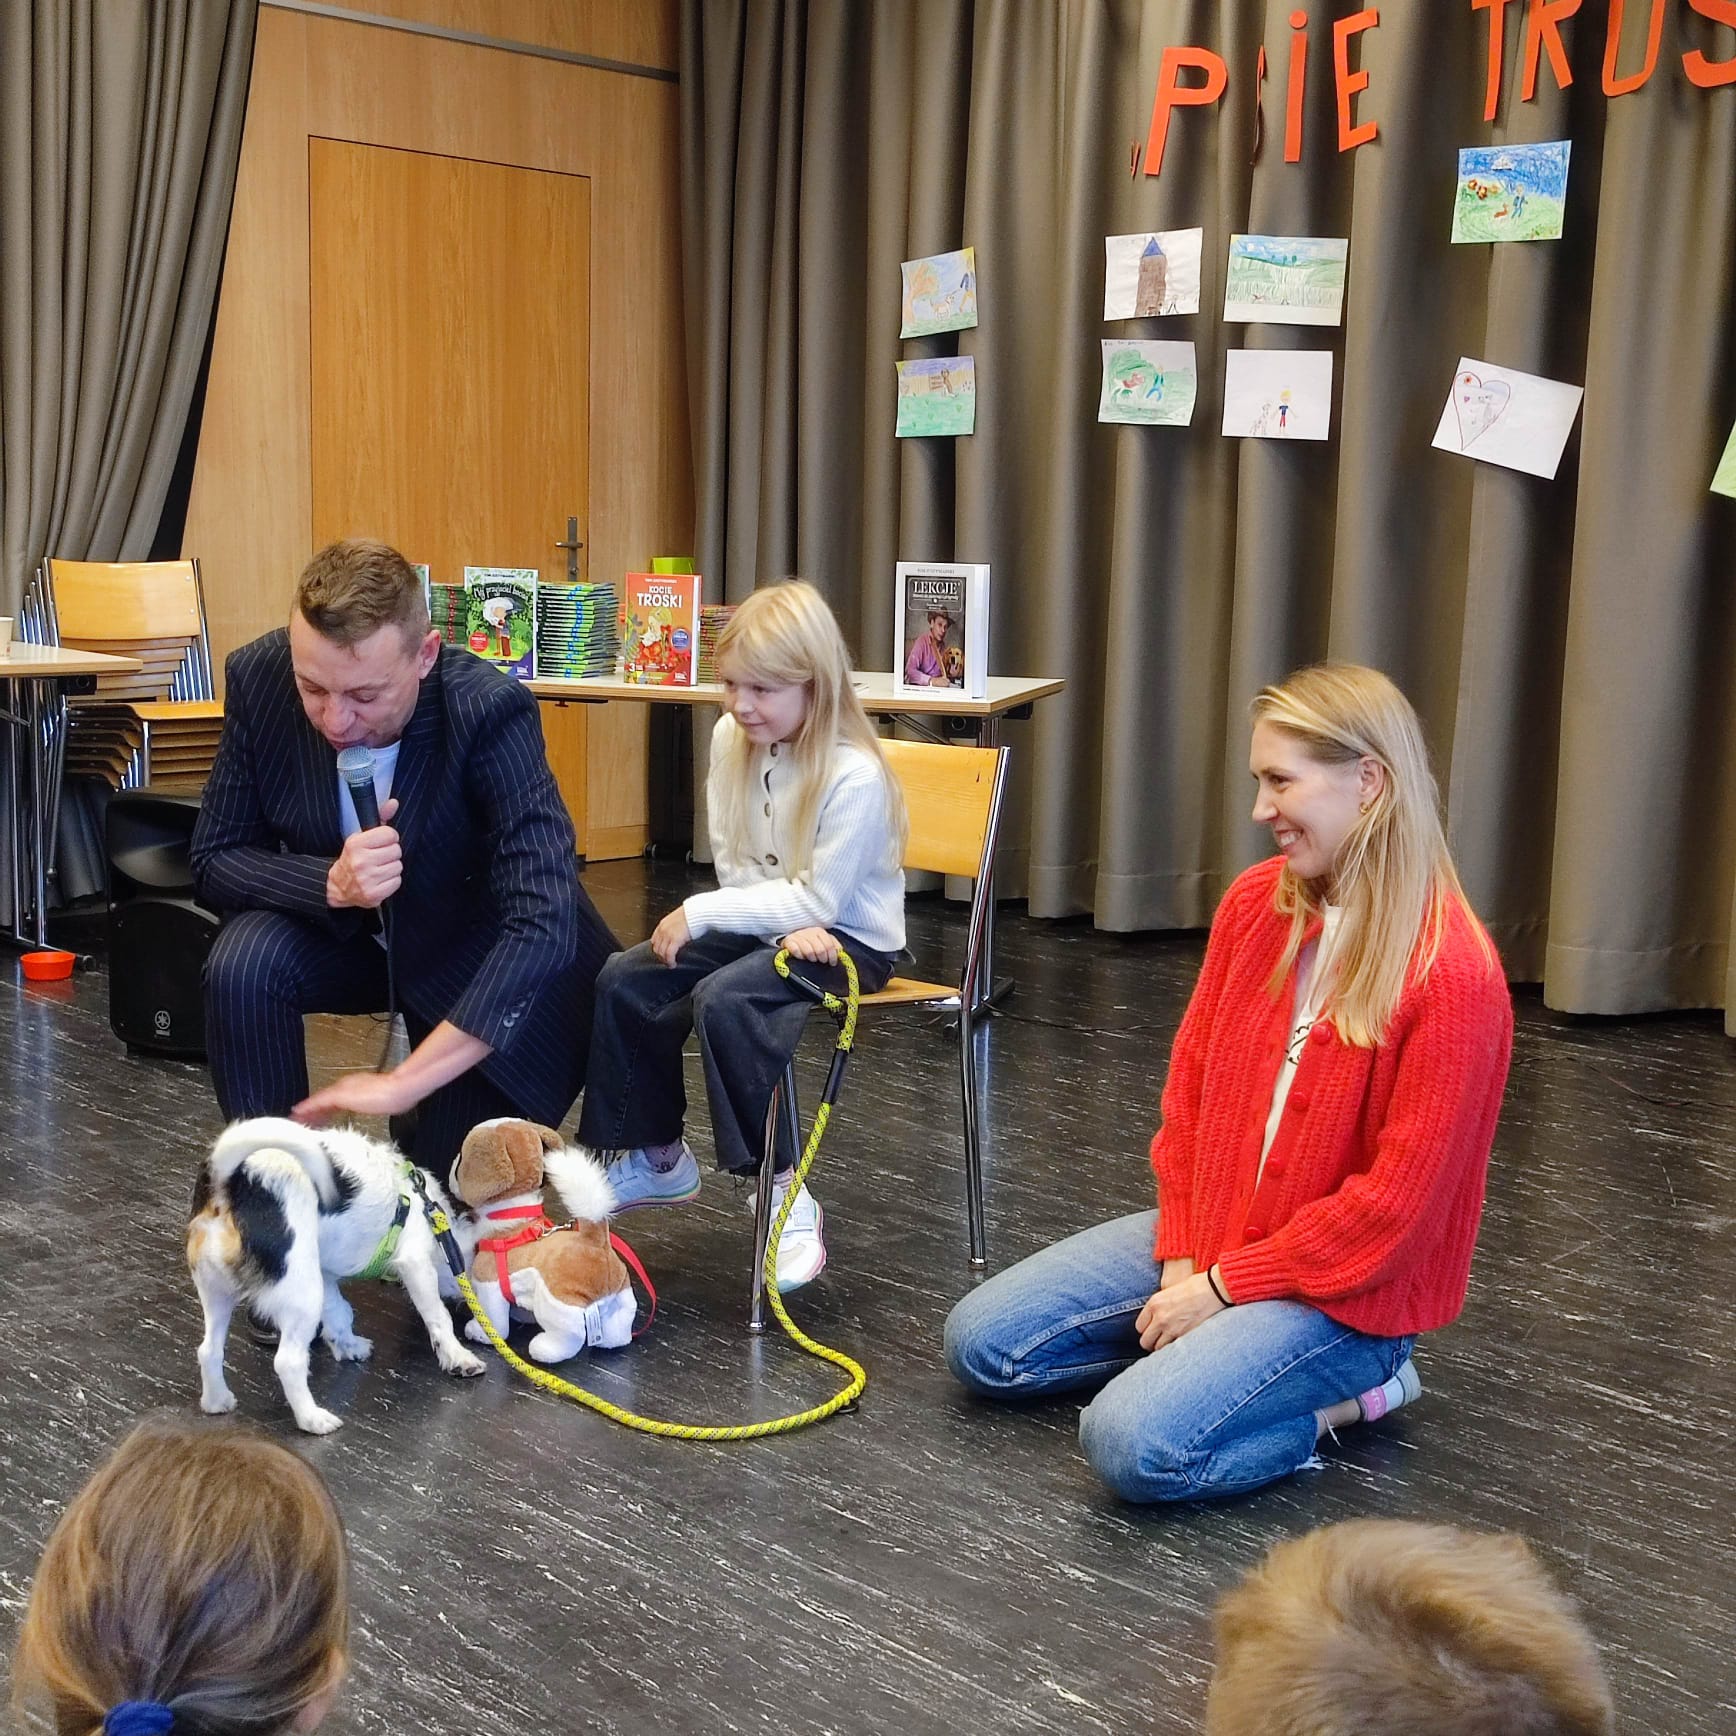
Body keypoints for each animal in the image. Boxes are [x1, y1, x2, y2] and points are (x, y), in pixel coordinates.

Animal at [188, 1117, 485, 1434]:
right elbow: (438, 1316)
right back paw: (312, 1418)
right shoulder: (415, 1261)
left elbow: (339, 1312)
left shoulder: (325, 1274)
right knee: (288, 1362)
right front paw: (459, 1357)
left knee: (209, 1350)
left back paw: (217, 1401)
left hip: (218, 1290)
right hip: (302, 1295)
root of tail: (231, 1183)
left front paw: (348, 1346)